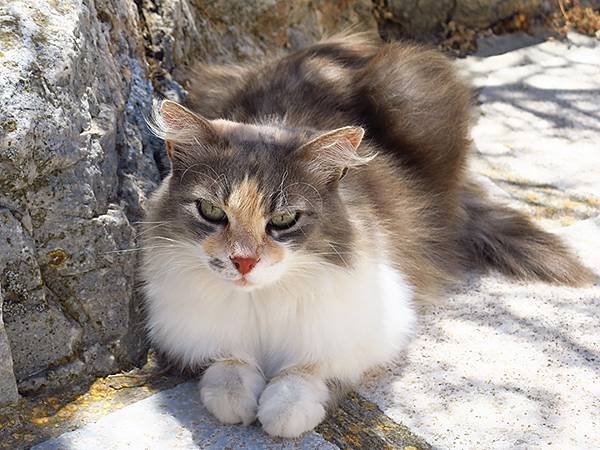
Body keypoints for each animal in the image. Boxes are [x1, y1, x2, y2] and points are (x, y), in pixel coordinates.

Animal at [142, 33, 596, 438]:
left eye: (284, 218)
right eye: (212, 212)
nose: (244, 261)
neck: (261, 304)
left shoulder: (373, 323)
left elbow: (306, 369)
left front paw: (284, 412)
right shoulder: (188, 328)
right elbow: (228, 365)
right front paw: (237, 399)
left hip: (409, 91)